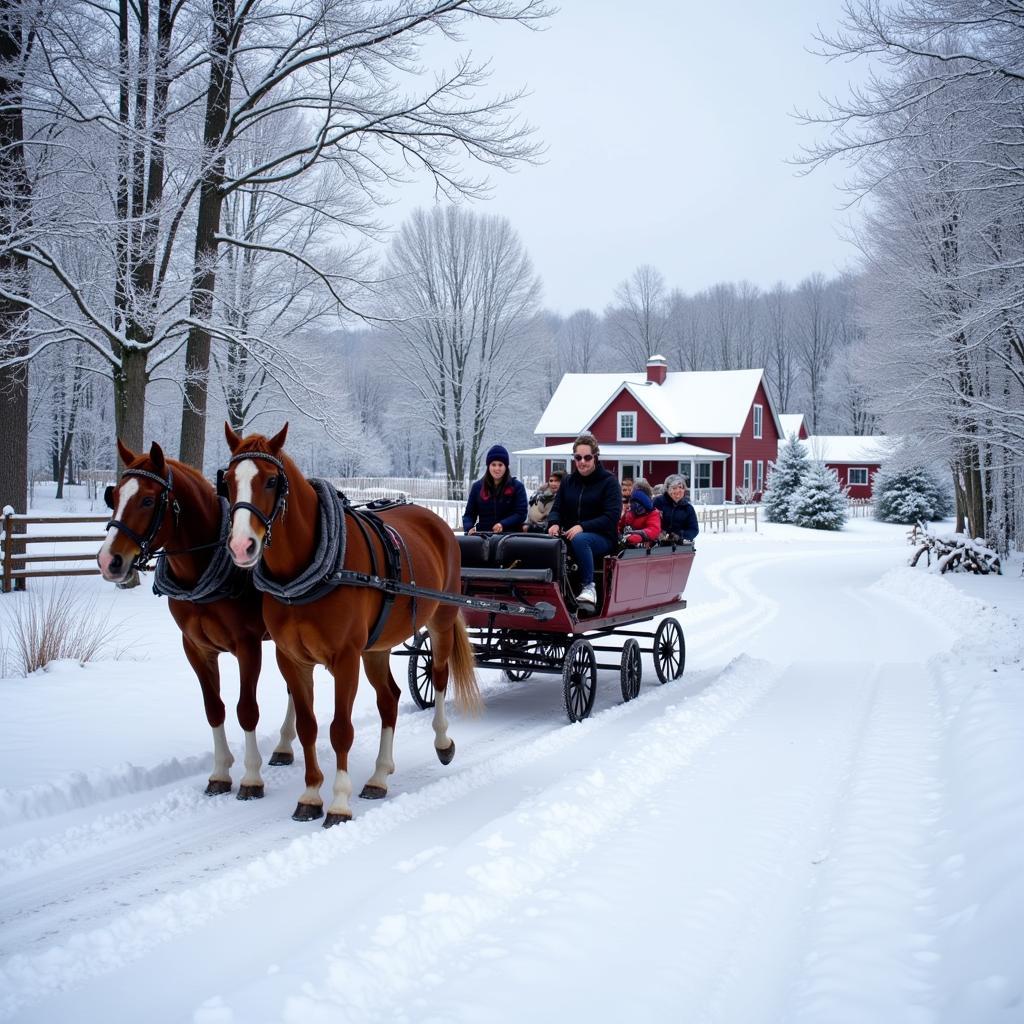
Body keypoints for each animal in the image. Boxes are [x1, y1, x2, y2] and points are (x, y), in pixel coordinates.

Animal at [97, 440, 296, 798]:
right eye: (114, 496)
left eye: (147, 500)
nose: (109, 561)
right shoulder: (196, 648)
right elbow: (213, 708)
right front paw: (220, 773)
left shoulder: (248, 646)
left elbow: (247, 709)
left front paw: (251, 777)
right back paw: (285, 746)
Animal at [224, 419, 479, 827]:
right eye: (227, 480)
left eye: (270, 480)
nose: (241, 546)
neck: (308, 571)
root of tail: (435, 521)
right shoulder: (292, 659)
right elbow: (309, 727)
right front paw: (311, 796)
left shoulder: (345, 659)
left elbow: (340, 730)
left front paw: (339, 803)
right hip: (376, 647)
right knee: (389, 699)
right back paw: (379, 776)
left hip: (440, 619)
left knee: (439, 677)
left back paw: (442, 742)